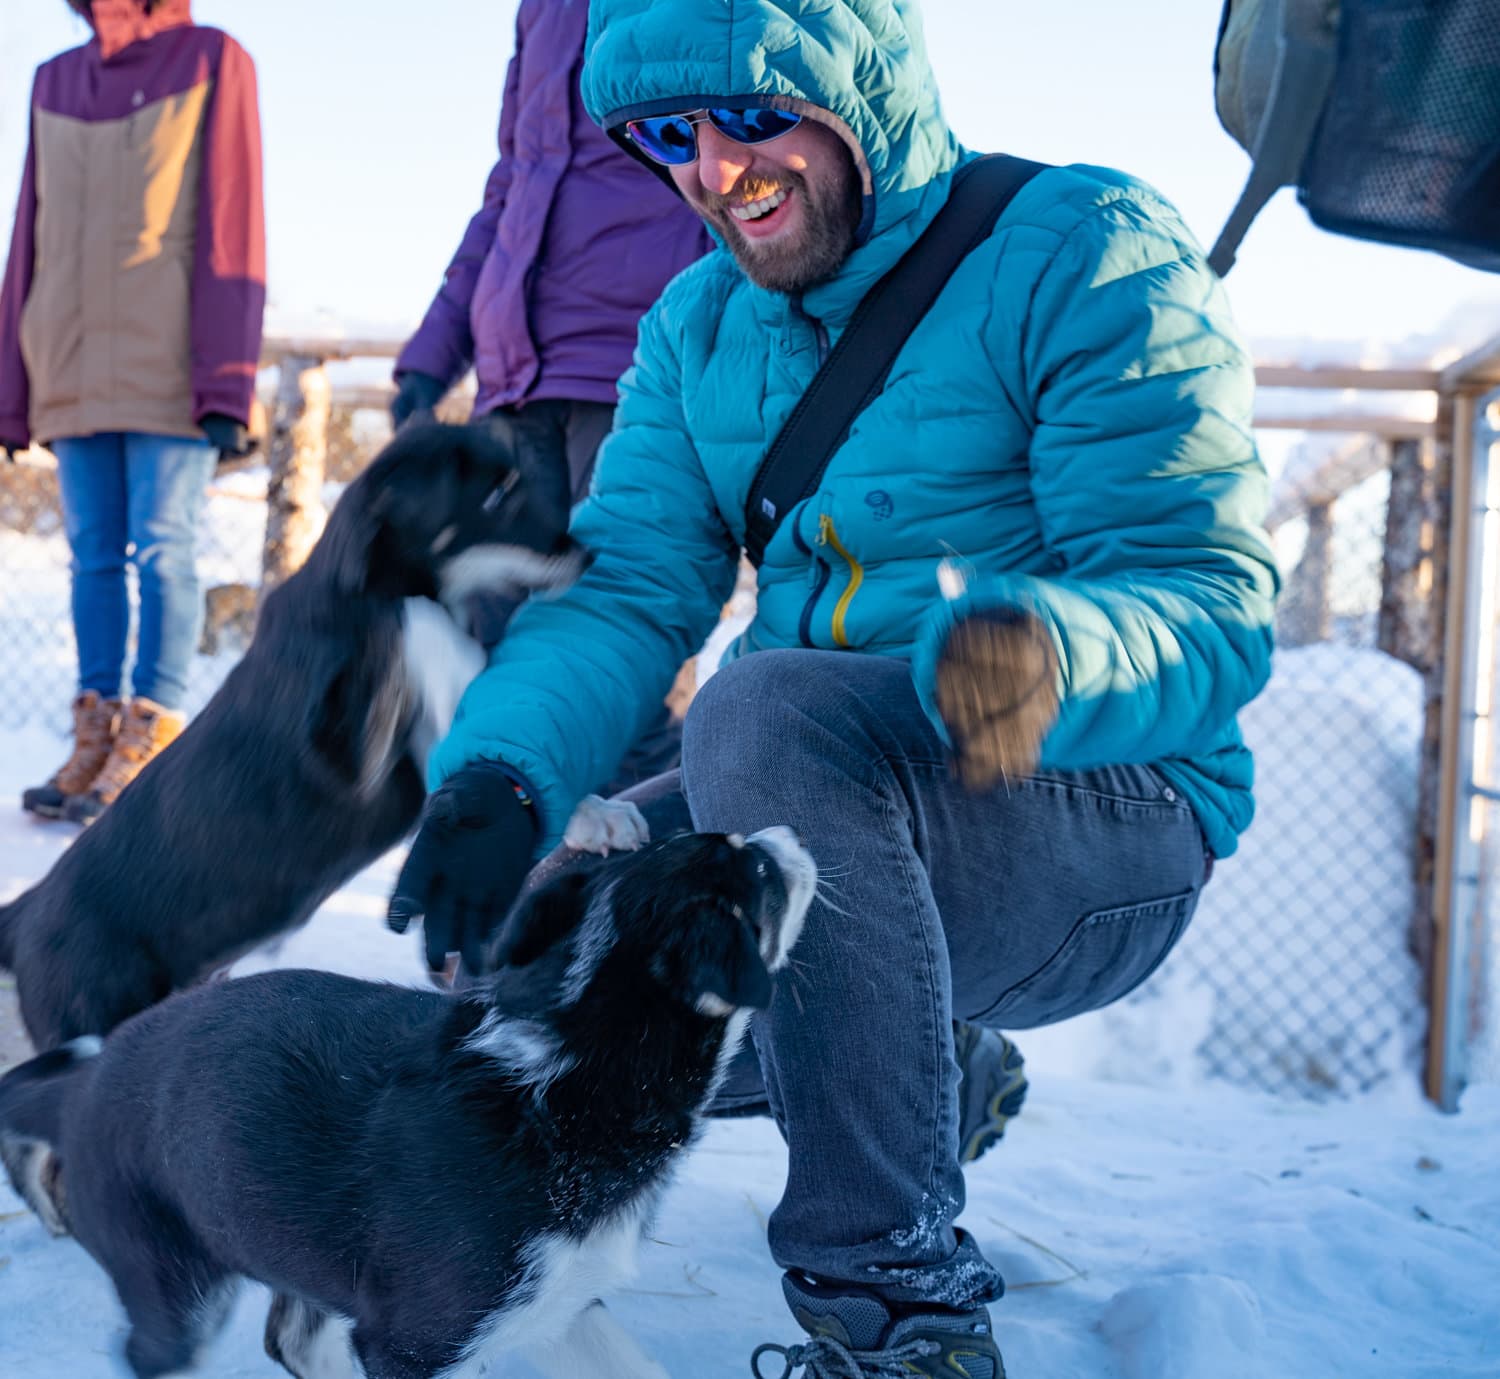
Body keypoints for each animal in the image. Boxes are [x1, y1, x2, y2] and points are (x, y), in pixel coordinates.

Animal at [0, 417, 588, 1044]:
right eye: (497, 495)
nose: (586, 553)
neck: (364, 582)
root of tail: (25, 914)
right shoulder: (351, 753)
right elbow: (423, 627)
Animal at [0, 822, 816, 1379]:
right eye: (758, 868)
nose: (787, 833)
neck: (570, 1064)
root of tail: (87, 1081)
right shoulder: (418, 1342)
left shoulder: (560, 1303)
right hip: (172, 1281)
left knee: (292, 1338)